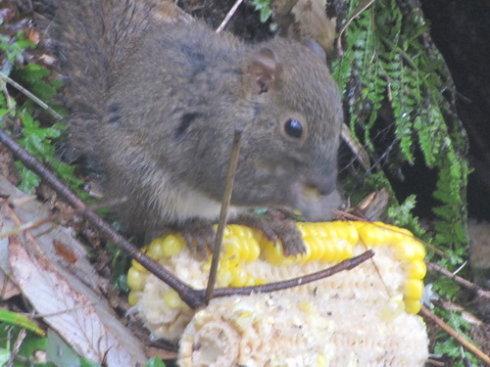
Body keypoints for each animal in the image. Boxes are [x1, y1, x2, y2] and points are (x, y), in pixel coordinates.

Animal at [47, 0, 342, 258]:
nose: (328, 184)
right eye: (294, 127)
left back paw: (269, 224)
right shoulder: (211, 139)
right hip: (146, 184)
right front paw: (312, 202)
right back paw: (191, 230)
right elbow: (229, 184)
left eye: (340, 116)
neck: (242, 108)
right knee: (148, 226)